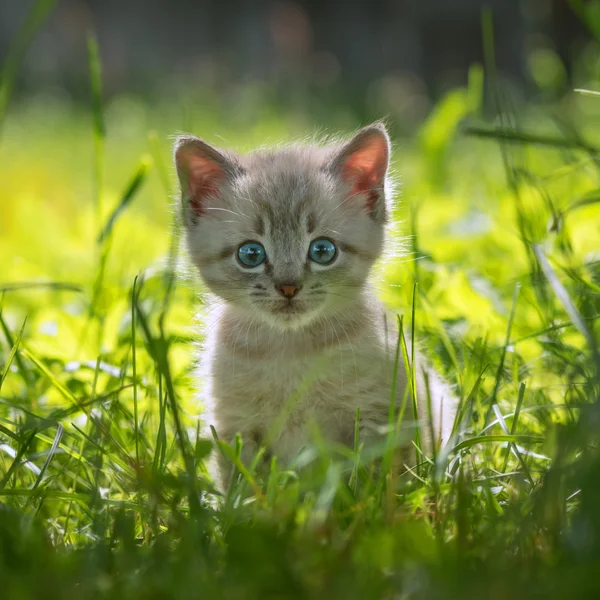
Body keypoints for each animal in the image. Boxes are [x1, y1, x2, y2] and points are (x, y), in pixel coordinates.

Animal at [173, 124, 454, 490]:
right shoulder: (234, 424)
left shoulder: (383, 413)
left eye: (323, 251)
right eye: (250, 254)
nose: (288, 287)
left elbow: (374, 482)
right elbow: (245, 487)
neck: (292, 352)